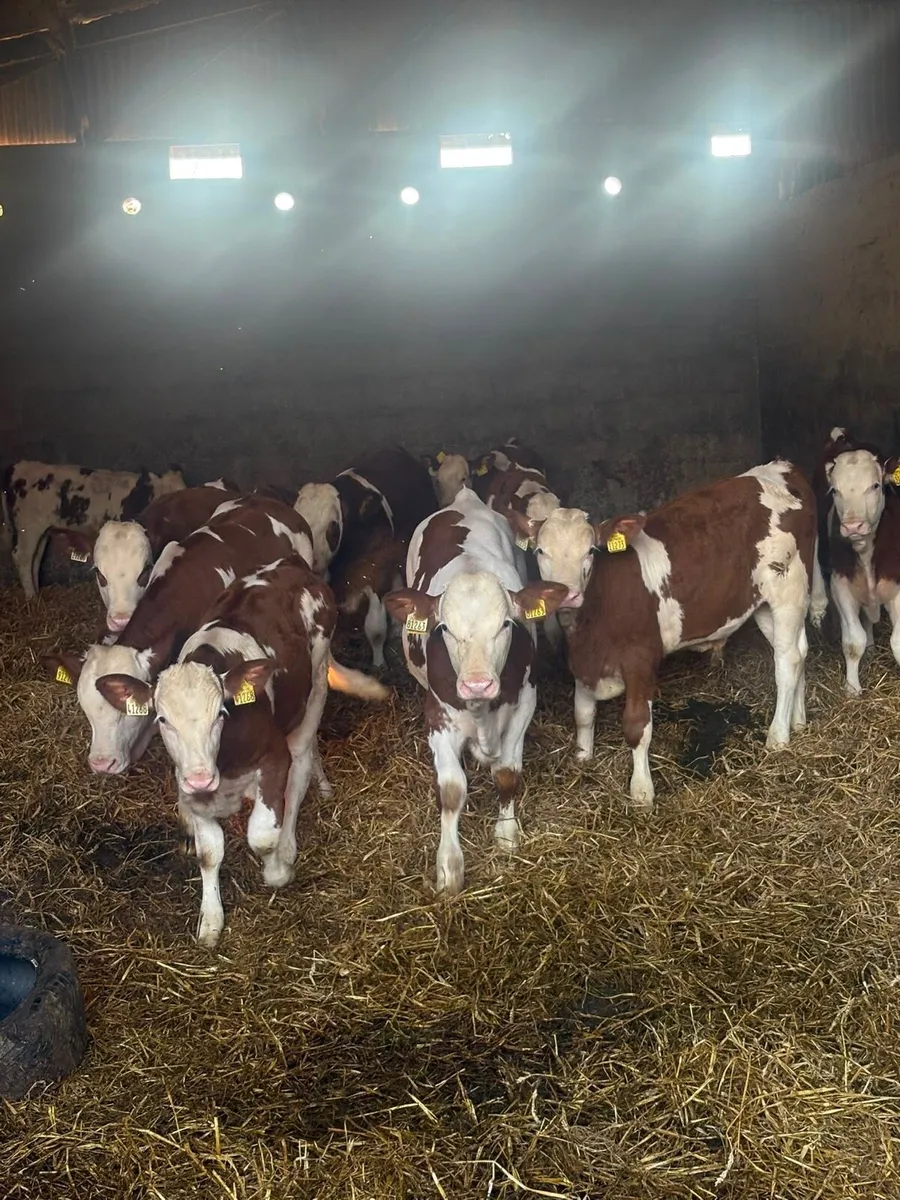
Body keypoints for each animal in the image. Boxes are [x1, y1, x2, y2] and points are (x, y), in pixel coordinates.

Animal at [1, 460, 186, 598]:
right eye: (166, 498)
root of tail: (19, 466)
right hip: (28, 528)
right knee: (23, 557)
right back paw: (31, 596)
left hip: (43, 531)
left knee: (36, 558)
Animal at [93, 558, 388, 948]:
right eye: (162, 719)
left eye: (221, 713)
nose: (200, 777)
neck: (224, 762)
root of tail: (290, 565)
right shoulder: (192, 791)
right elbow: (209, 854)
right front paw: (210, 920)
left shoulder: (274, 760)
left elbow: (262, 836)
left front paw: (278, 870)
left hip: (315, 686)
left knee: (300, 766)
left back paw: (290, 841)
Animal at [384, 487, 570, 896]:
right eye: (445, 629)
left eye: (505, 624)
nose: (477, 684)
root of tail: (464, 500)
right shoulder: (437, 715)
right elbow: (452, 789)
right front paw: (448, 866)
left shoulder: (524, 702)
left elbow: (507, 774)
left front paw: (506, 836)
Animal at [524, 461, 826, 810]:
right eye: (540, 551)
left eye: (590, 551)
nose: (566, 595)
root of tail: (781, 467)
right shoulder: (584, 661)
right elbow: (582, 714)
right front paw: (583, 757)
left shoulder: (641, 658)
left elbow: (637, 726)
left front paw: (642, 791)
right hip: (763, 604)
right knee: (799, 650)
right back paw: (798, 720)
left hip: (788, 591)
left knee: (787, 662)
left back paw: (778, 736)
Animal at [817, 427, 900, 694]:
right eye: (835, 490)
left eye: (875, 485)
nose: (853, 526)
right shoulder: (840, 584)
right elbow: (854, 641)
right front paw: (852, 689)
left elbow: (897, 642)